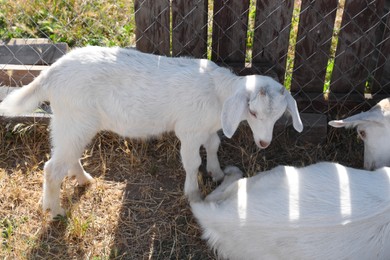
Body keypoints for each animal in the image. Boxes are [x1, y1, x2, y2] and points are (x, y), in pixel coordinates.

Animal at [0, 46, 304, 217]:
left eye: (279, 115)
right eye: (253, 112)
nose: (263, 143)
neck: (218, 94)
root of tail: (50, 73)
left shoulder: (206, 127)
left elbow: (214, 146)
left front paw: (217, 173)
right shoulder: (189, 130)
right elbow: (192, 162)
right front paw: (193, 193)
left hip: (71, 121)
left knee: (66, 155)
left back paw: (84, 180)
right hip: (74, 119)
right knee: (52, 168)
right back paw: (55, 211)